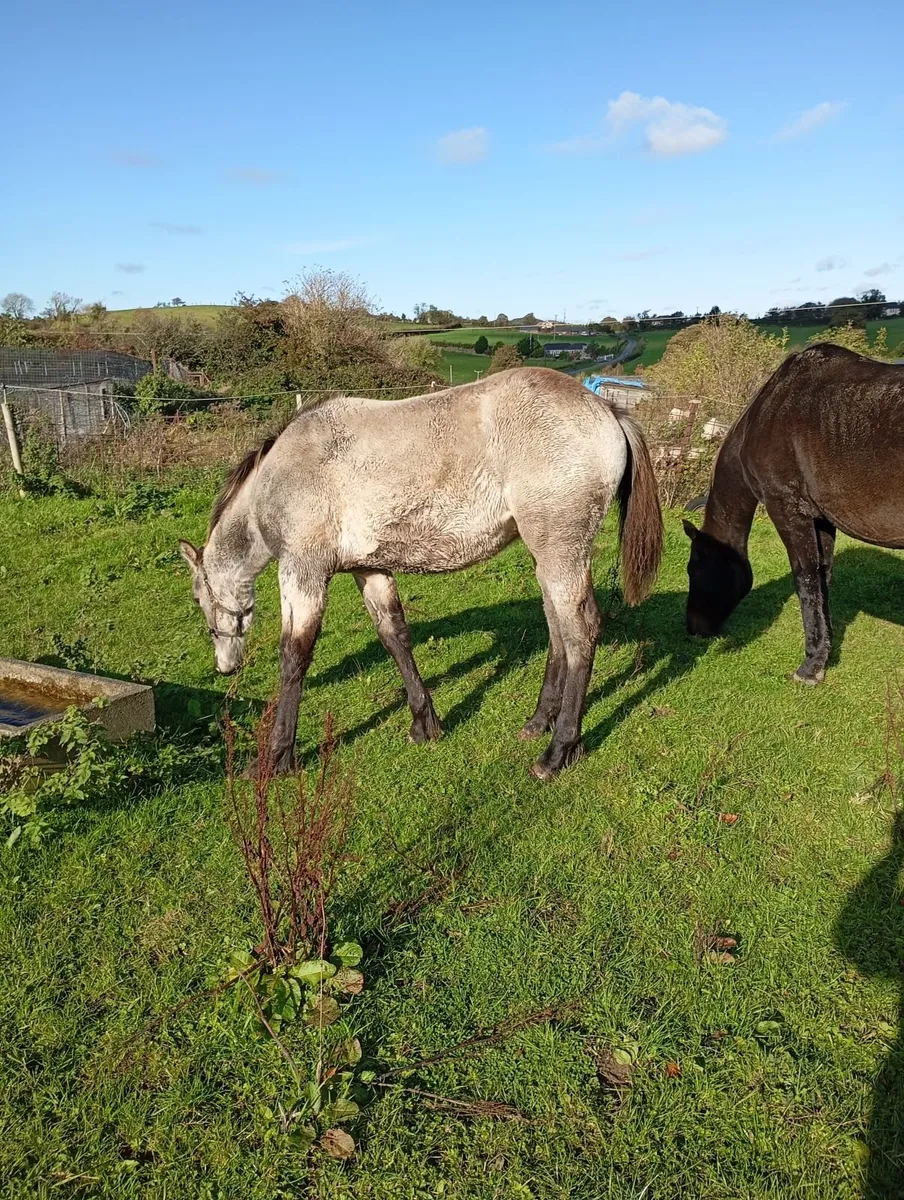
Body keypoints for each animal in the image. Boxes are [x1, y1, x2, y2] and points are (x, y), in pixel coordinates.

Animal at [179, 367, 663, 780]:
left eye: (199, 600)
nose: (224, 667)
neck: (286, 472)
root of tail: (607, 410)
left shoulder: (303, 571)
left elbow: (294, 657)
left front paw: (278, 756)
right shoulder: (370, 569)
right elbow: (394, 636)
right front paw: (424, 722)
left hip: (562, 552)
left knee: (581, 632)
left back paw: (558, 751)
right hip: (545, 557)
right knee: (557, 630)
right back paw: (539, 722)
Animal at [684, 344, 904, 683]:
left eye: (693, 570)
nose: (692, 627)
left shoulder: (787, 509)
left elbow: (806, 578)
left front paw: (811, 666)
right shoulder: (822, 518)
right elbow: (823, 577)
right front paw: (824, 652)